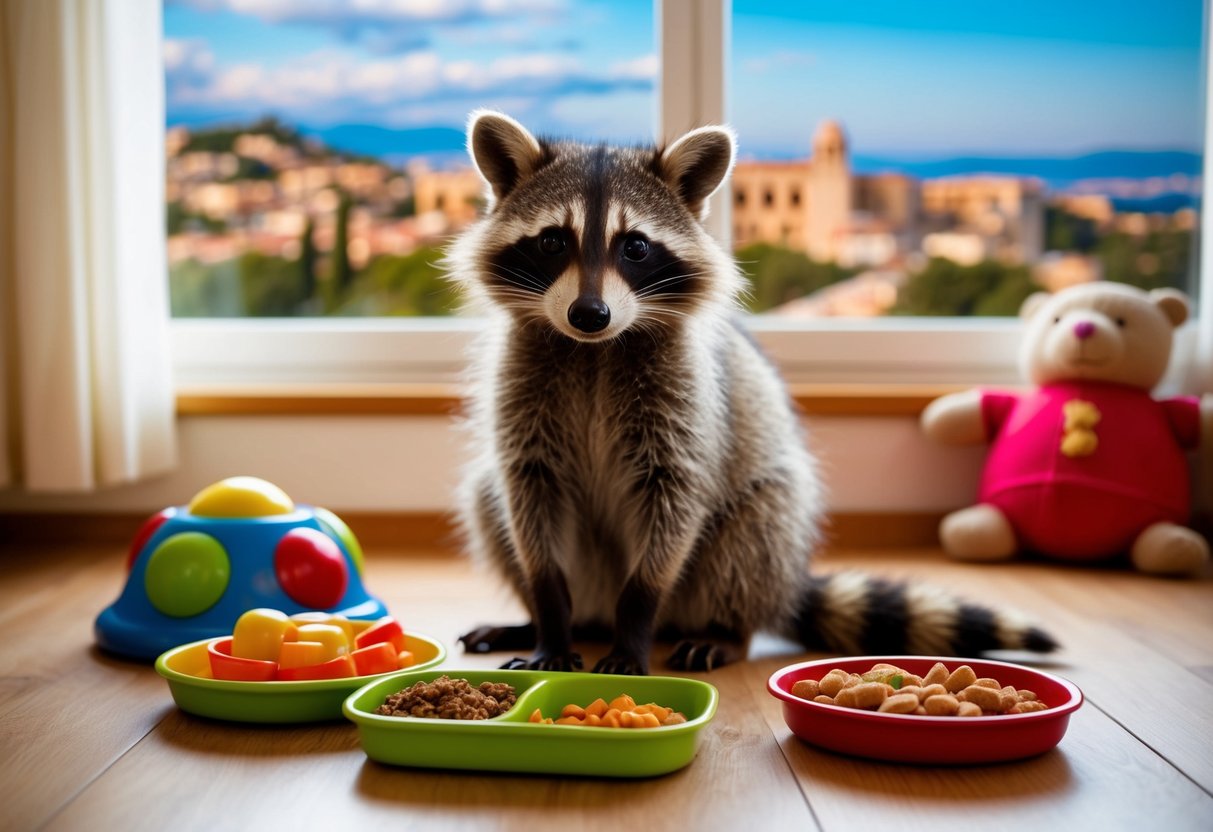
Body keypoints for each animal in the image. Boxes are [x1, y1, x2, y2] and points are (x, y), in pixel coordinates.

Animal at [445, 110, 1057, 674]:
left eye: (635, 247)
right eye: (552, 241)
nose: (589, 314)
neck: (594, 349)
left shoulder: (686, 407)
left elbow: (675, 507)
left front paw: (634, 626)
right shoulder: (523, 390)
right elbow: (529, 501)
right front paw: (549, 620)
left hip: (751, 539)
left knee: (757, 527)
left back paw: (726, 630)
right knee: (486, 496)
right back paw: (540, 621)